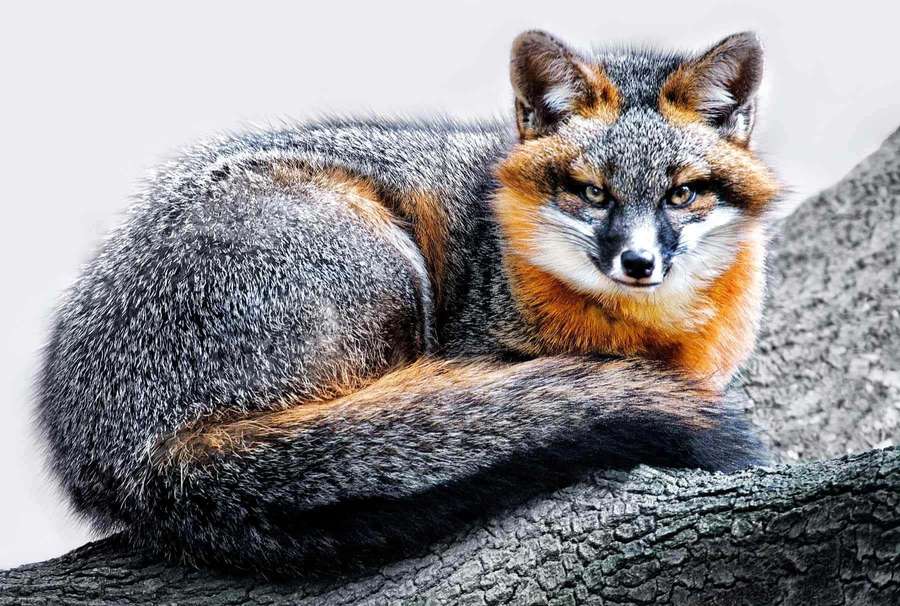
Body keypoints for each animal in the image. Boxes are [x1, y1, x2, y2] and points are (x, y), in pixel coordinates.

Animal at [36, 30, 781, 574]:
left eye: (681, 194)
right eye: (591, 192)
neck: (647, 334)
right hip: (390, 265)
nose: (638, 263)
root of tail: (128, 448)